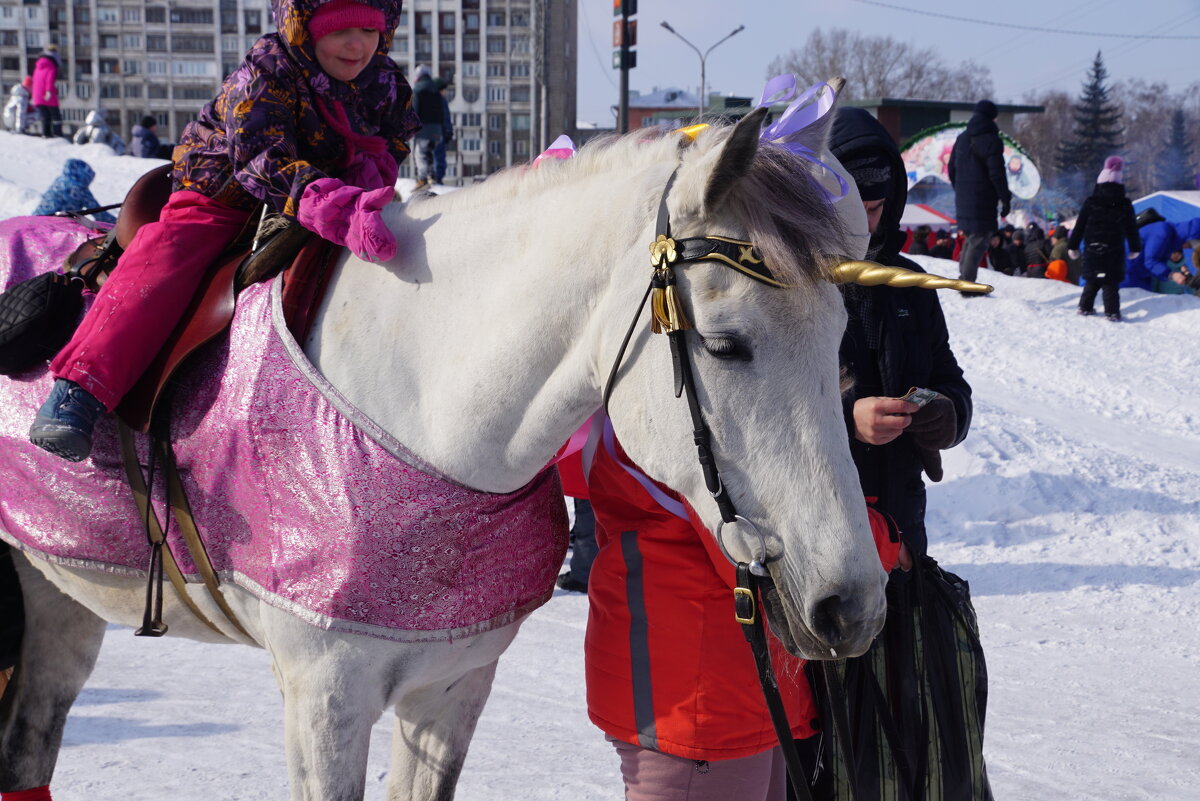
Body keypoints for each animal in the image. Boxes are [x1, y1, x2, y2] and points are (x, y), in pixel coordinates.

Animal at [2, 107, 902, 801]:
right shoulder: (323, 703)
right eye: (724, 344)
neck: (420, 411)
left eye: (840, 338)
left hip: (59, 597)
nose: (852, 605)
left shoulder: (452, 691)